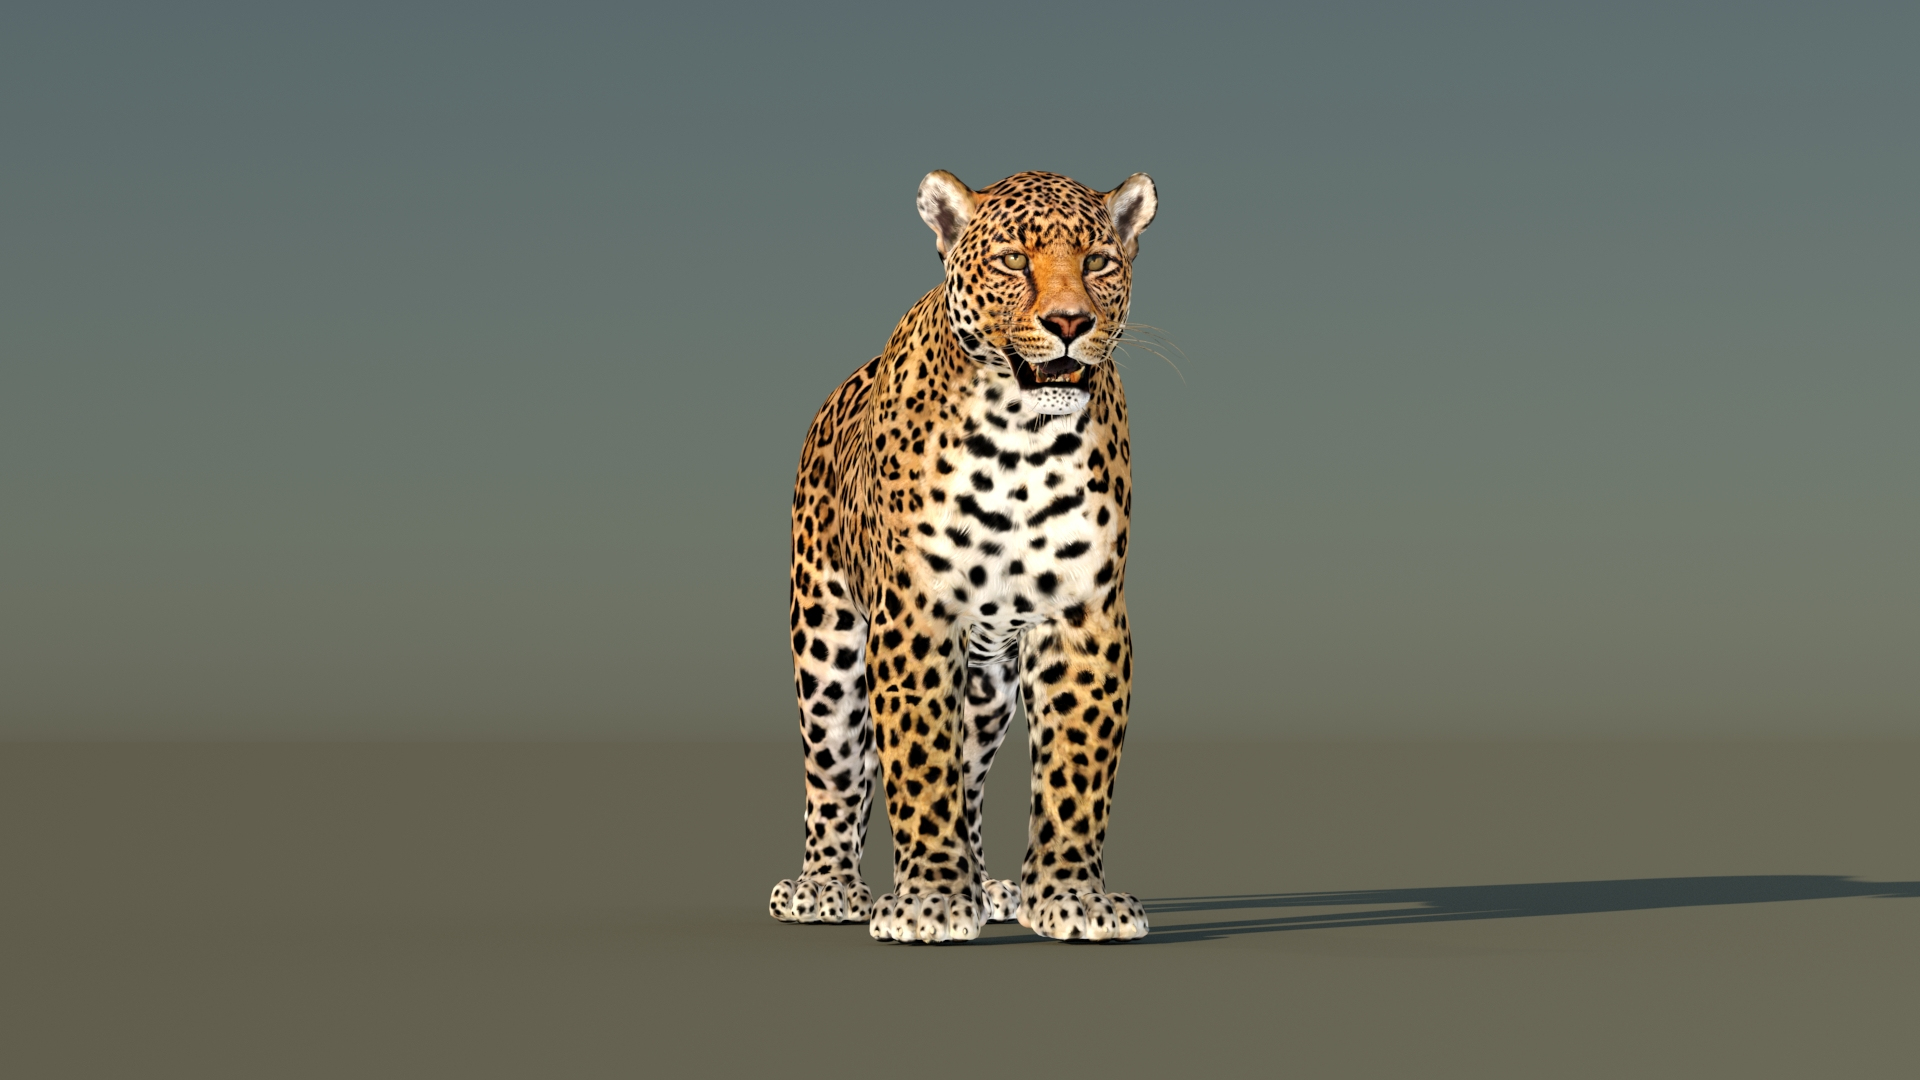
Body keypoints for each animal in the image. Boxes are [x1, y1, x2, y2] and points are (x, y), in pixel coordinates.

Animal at [768, 169, 1158, 943]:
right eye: (1012, 260)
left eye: (1100, 261)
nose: (1071, 323)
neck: (1022, 441)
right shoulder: (915, 616)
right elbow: (919, 765)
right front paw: (929, 902)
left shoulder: (1085, 616)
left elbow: (1077, 766)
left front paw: (1071, 898)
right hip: (825, 641)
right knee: (834, 769)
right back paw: (826, 888)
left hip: (987, 682)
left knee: (971, 774)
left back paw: (987, 887)